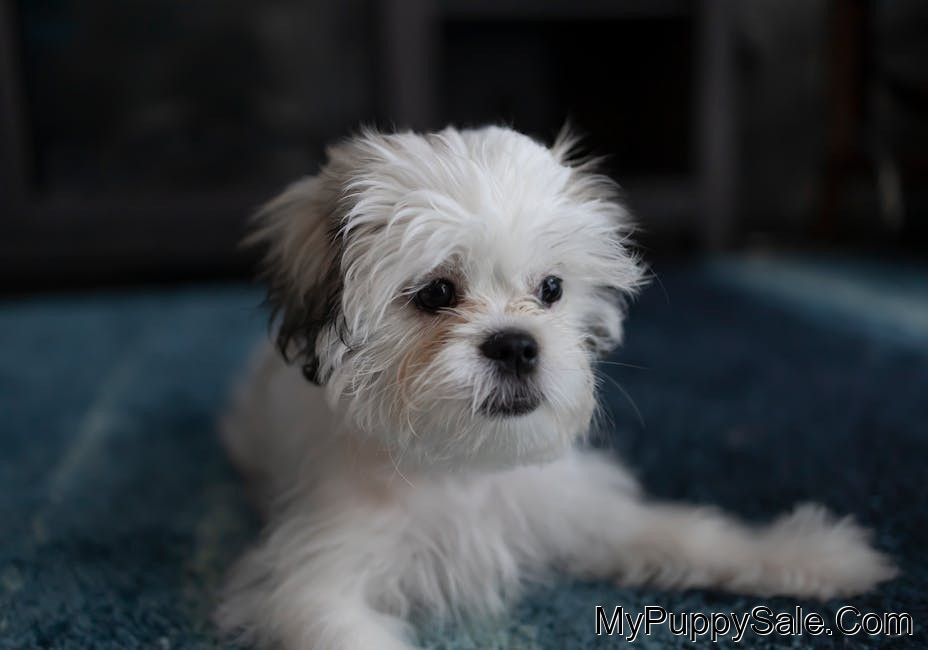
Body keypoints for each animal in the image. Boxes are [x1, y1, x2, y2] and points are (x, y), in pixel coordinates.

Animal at [217, 126, 896, 649]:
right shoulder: (315, 584)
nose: (517, 345)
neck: (463, 470)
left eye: (551, 289)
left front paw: (810, 555)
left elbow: (692, 533)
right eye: (435, 292)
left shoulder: (586, 510)